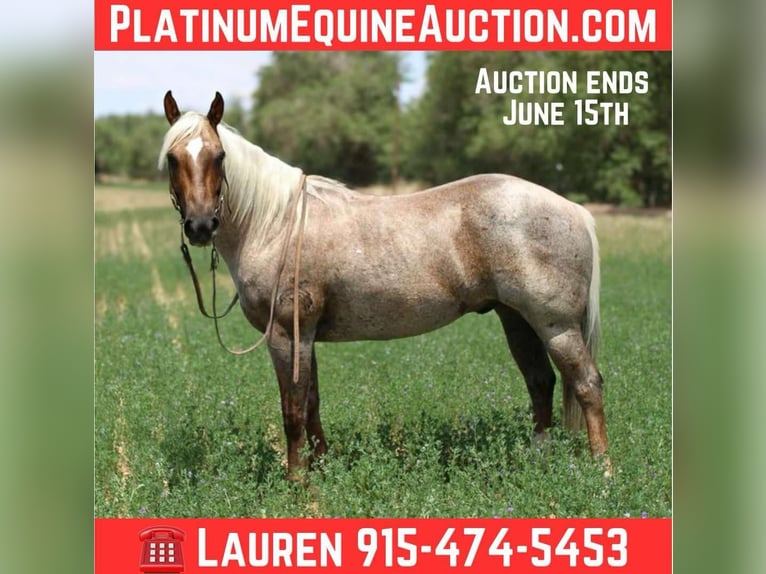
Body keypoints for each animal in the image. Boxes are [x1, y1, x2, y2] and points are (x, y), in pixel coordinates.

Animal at [159, 91, 609, 481]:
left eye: (218, 156)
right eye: (172, 158)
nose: (201, 226)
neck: (277, 224)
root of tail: (575, 210)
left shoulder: (286, 335)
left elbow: (293, 410)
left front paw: (297, 482)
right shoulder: (307, 335)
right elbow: (312, 402)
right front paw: (321, 468)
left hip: (556, 326)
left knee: (587, 384)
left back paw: (602, 471)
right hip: (515, 318)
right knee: (541, 382)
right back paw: (539, 461)